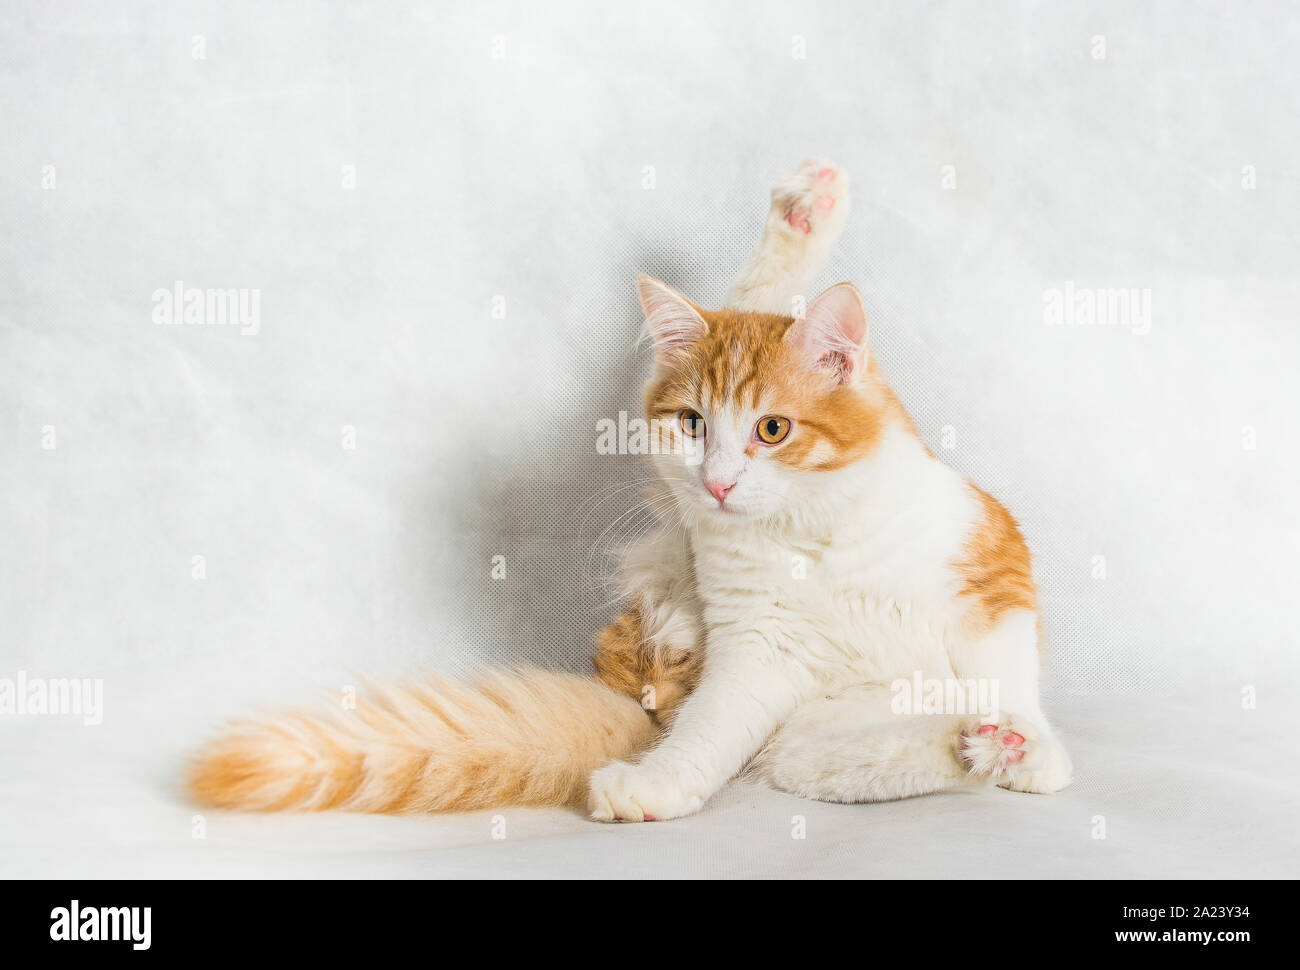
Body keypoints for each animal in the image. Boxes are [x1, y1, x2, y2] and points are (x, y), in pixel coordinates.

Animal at [188, 156, 1071, 816]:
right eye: (692, 424)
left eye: (772, 430)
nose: (718, 483)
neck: (807, 538)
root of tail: (636, 680)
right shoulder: (756, 654)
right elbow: (709, 735)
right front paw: (659, 788)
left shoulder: (991, 571)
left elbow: (1005, 672)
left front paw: (1029, 749)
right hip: (771, 693)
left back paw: (986, 743)